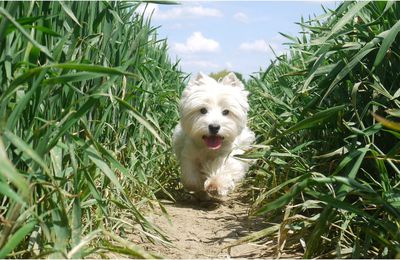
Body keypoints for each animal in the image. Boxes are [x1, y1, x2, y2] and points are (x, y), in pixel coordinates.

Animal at [173, 72, 255, 200]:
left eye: (226, 112)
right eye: (203, 110)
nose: (214, 127)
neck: (209, 149)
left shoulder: (231, 154)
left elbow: (223, 167)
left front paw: (215, 185)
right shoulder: (189, 154)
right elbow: (190, 178)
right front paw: (200, 187)